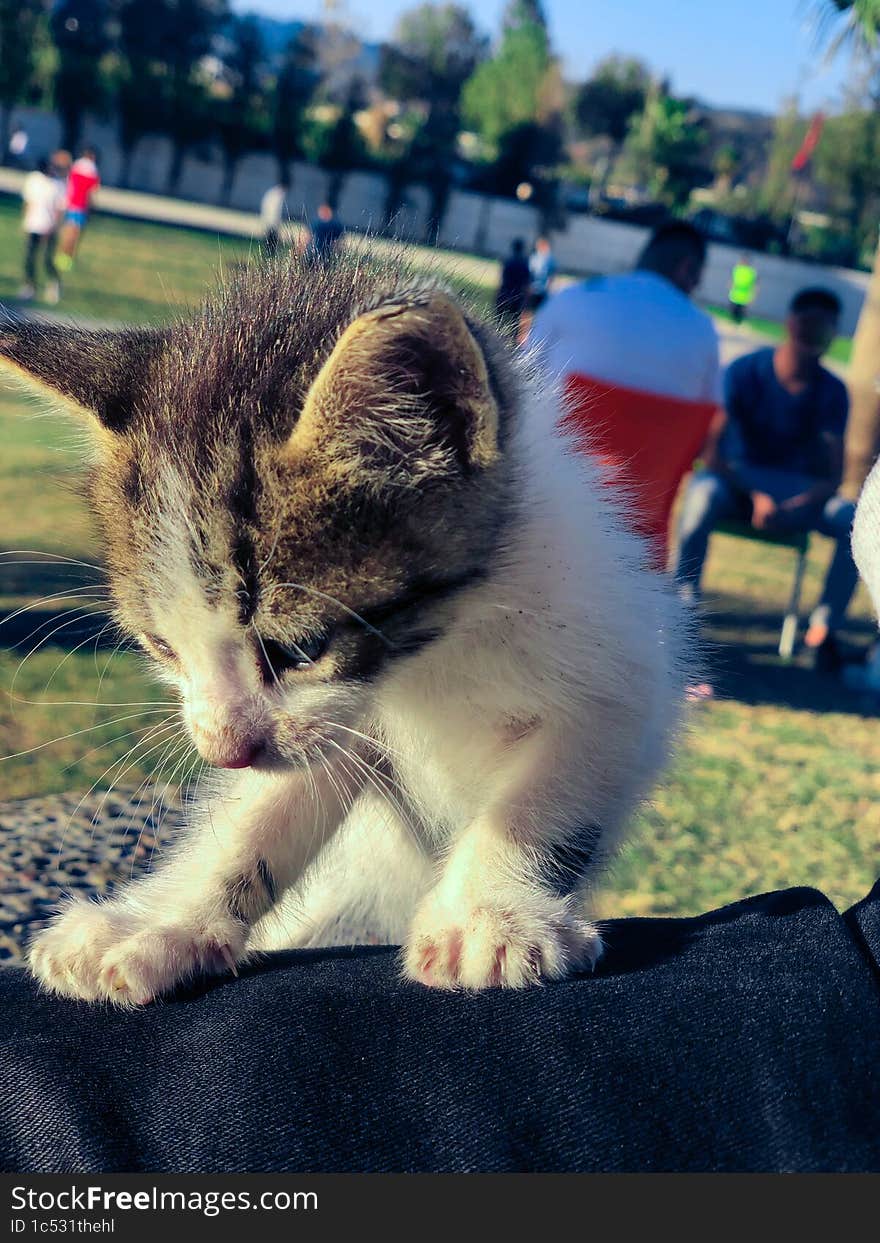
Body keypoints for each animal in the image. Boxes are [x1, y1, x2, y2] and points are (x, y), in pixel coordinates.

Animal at [0, 254, 686, 1009]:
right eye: (162, 648)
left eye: (299, 649)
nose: (224, 752)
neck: (434, 653)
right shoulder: (337, 723)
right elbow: (259, 817)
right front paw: (158, 926)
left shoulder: (623, 658)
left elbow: (548, 790)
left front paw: (488, 915)